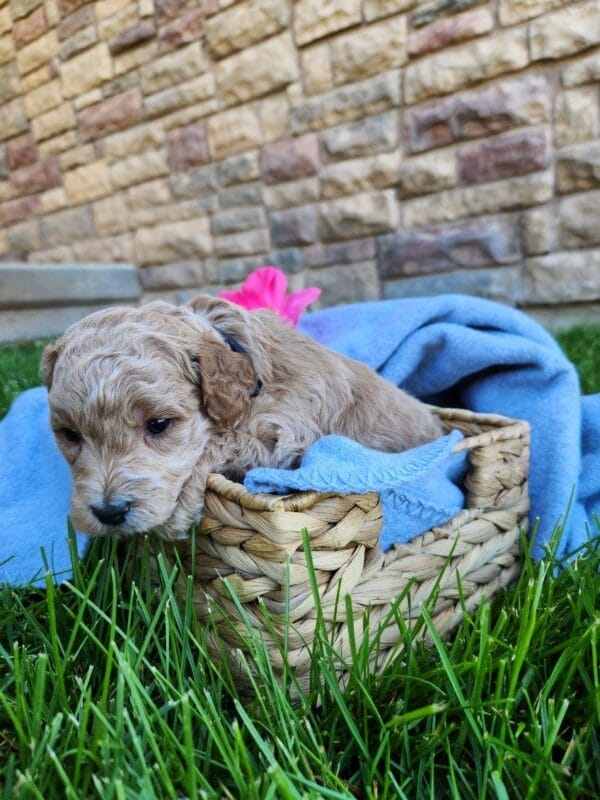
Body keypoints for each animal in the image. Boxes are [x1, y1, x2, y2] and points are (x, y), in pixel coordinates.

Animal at [42, 296, 442, 540]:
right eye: (69, 435)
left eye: (158, 425)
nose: (109, 512)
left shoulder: (288, 437)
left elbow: (226, 440)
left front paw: (179, 511)